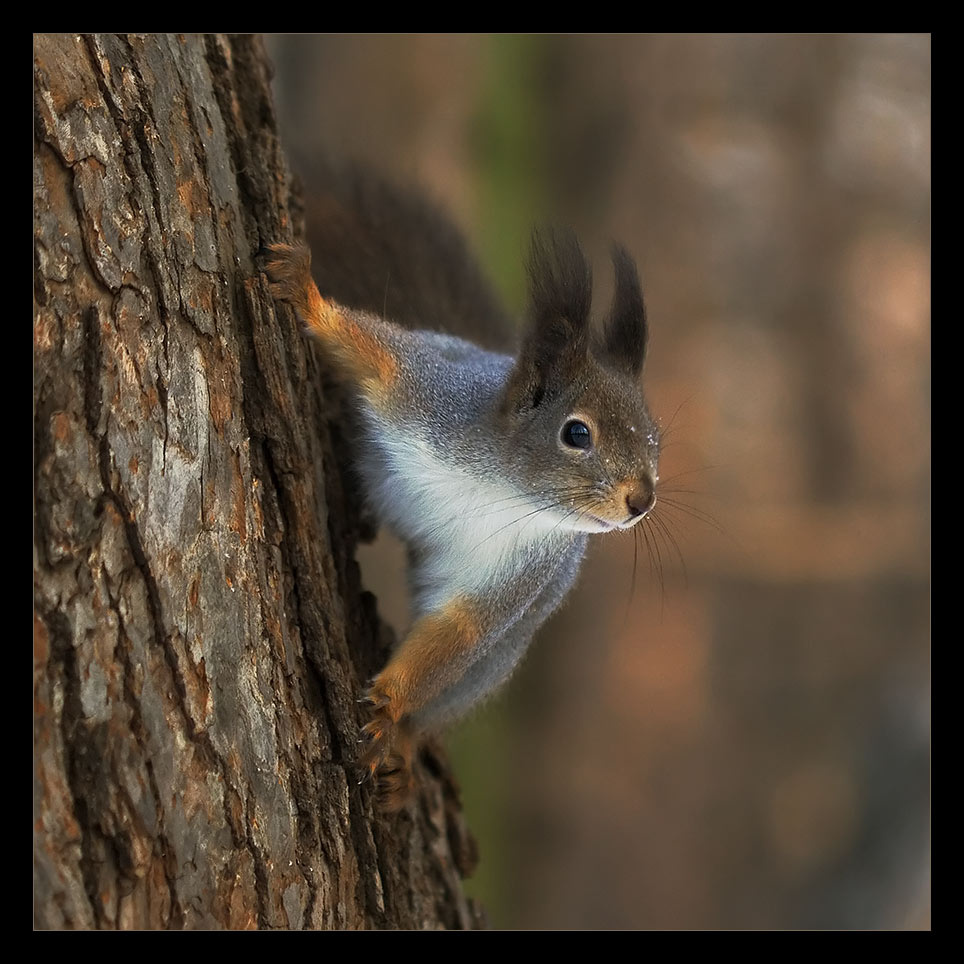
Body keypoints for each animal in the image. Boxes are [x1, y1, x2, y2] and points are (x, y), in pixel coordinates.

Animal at [265, 166, 660, 811]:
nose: (641, 500)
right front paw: (306, 293)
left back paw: (407, 743)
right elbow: (378, 354)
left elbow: (458, 630)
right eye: (577, 433)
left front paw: (389, 708)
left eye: (655, 437)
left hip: (511, 643)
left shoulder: (515, 573)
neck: (501, 486)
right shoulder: (428, 397)